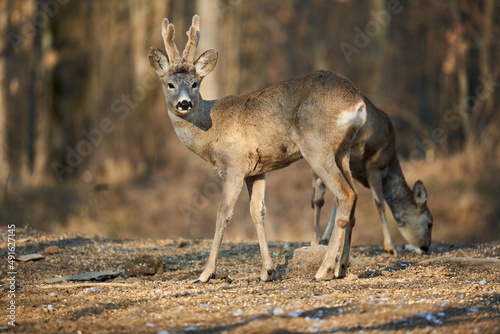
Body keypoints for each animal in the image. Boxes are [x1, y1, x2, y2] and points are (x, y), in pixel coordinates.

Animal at [149, 15, 368, 282]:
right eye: (170, 84)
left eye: (194, 83)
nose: (184, 103)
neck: (210, 129)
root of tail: (357, 103)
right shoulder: (257, 170)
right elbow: (258, 212)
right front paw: (267, 271)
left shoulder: (233, 164)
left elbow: (223, 213)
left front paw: (206, 273)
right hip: (343, 150)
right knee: (354, 196)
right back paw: (341, 267)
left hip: (316, 146)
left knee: (345, 195)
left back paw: (323, 269)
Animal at [310, 98, 432, 254]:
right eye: (429, 224)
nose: (426, 248)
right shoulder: (374, 165)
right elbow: (379, 203)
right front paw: (390, 247)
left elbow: (337, 200)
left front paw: (327, 238)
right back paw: (316, 239)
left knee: (318, 196)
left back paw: (316, 239)